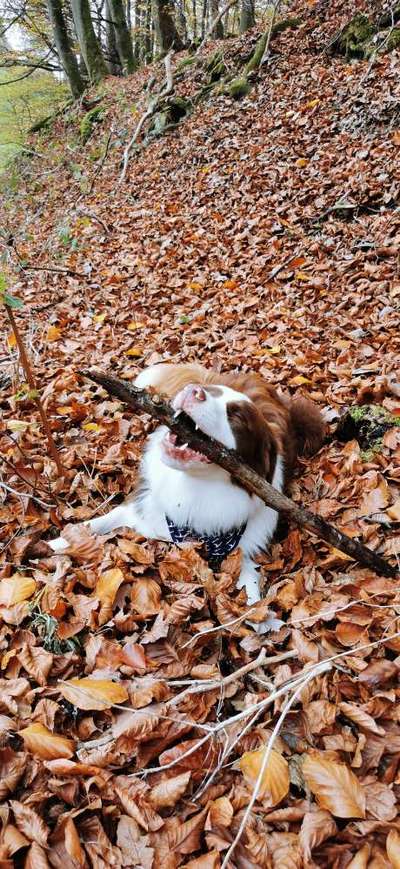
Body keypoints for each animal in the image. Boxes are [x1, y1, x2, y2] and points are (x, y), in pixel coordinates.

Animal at [50, 366, 324, 612]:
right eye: (210, 392)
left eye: (236, 417)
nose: (194, 391)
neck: (194, 487)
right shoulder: (142, 506)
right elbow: (96, 523)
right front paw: (57, 543)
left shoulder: (246, 548)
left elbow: (250, 582)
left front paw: (256, 616)